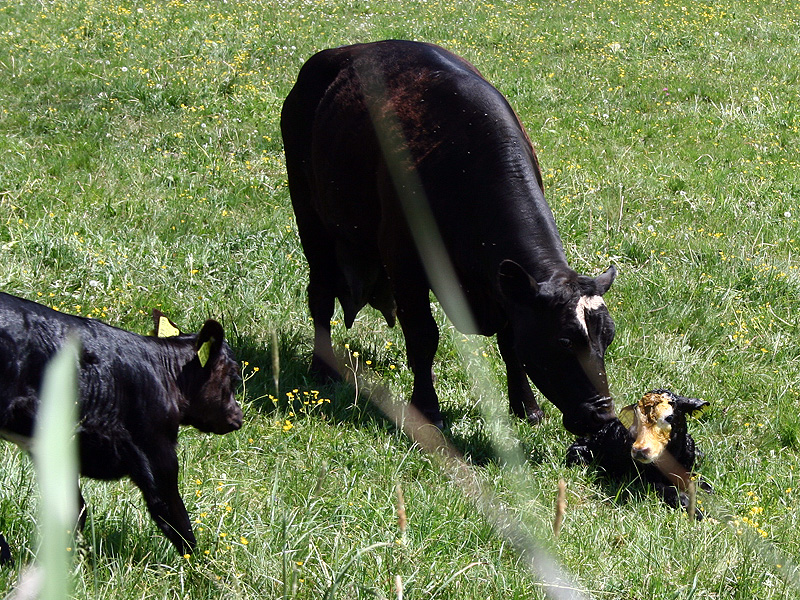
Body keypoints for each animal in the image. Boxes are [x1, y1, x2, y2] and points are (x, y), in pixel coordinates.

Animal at [0, 294, 244, 564]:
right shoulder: (155, 449)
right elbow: (174, 517)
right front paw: (198, 568)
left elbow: (73, 509)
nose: (238, 416)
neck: (163, 374)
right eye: (234, 376)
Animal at [282, 39, 620, 434]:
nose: (603, 415)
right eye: (564, 341)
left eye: (608, 337)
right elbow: (423, 336)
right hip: (310, 218)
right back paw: (323, 369)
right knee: (320, 295)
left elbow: (510, 343)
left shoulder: (505, 288)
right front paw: (427, 408)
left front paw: (526, 406)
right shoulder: (405, 263)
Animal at [564, 390, 708, 516]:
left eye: (670, 417)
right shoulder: (645, 481)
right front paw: (700, 513)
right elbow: (672, 493)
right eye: (636, 419)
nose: (639, 450)